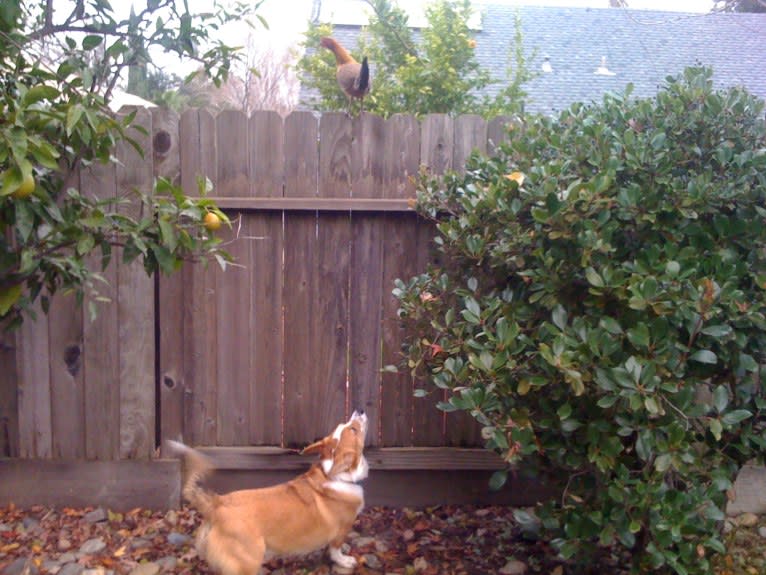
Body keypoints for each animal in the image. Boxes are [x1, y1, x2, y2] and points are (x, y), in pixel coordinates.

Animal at [169, 412, 372, 572]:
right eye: (353, 430)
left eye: (346, 425)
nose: (360, 410)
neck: (337, 476)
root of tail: (216, 504)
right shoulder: (342, 530)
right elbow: (335, 549)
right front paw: (345, 561)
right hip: (249, 561)